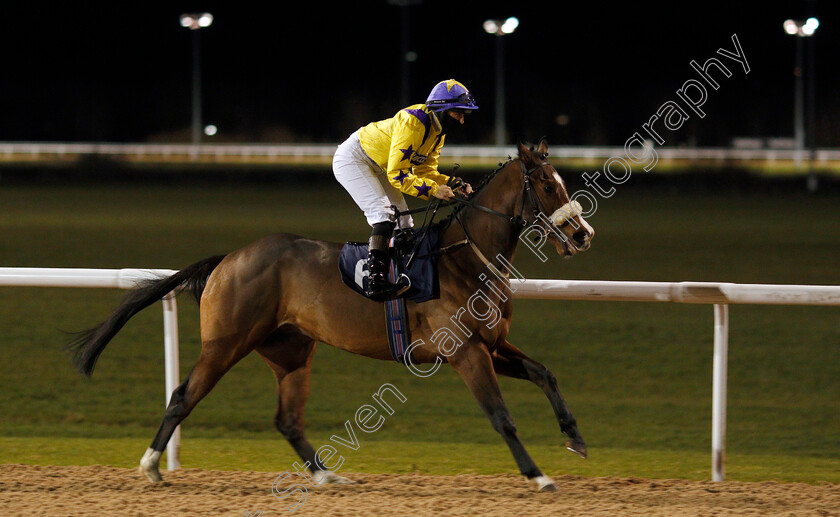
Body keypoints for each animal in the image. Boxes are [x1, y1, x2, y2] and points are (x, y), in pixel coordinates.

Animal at [70, 137, 596, 492]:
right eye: (546, 184)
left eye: (561, 181)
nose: (583, 234)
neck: (464, 257)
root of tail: (228, 258)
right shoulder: (466, 352)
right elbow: (501, 416)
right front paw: (538, 475)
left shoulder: (493, 344)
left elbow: (545, 373)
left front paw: (575, 438)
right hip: (226, 343)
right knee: (182, 396)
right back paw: (150, 466)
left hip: (291, 352)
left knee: (287, 419)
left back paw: (325, 477)